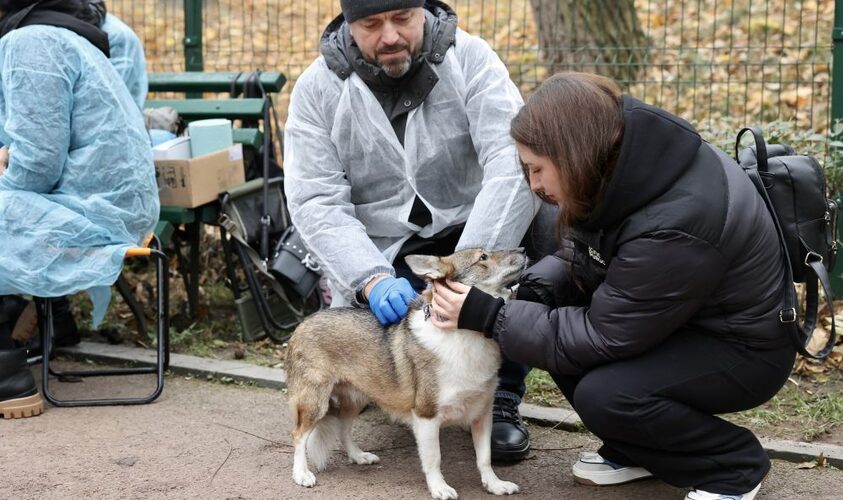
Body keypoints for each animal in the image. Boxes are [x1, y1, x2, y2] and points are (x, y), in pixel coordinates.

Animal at [290, 248, 528, 498]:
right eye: (482, 257)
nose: (523, 250)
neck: (466, 336)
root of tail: (303, 323)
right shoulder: (426, 416)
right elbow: (434, 459)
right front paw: (439, 487)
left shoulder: (482, 414)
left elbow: (484, 458)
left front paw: (494, 484)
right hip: (315, 402)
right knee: (299, 435)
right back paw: (301, 474)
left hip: (357, 397)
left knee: (343, 429)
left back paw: (358, 456)